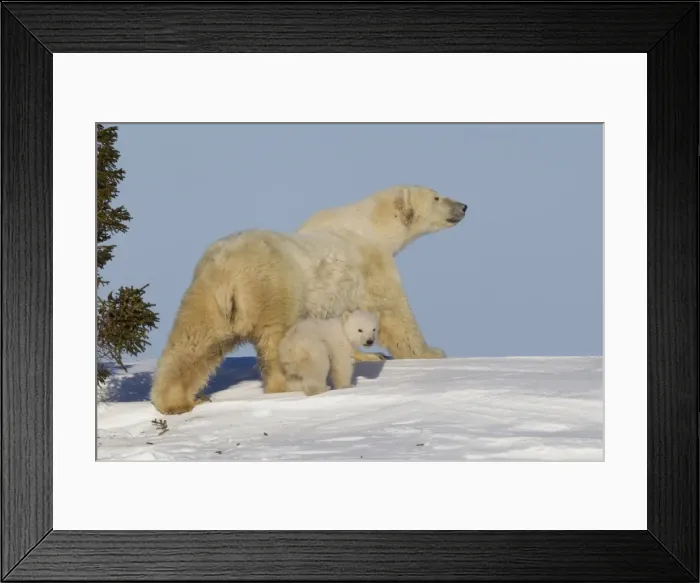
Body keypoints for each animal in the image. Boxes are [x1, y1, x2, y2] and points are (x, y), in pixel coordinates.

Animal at [150, 184, 467, 415]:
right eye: (437, 196)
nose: (464, 206)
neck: (369, 225)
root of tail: (228, 271)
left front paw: (367, 355)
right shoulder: (371, 266)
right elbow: (394, 313)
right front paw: (431, 352)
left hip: (206, 299)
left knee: (193, 342)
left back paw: (175, 401)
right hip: (274, 289)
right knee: (276, 341)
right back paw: (287, 384)